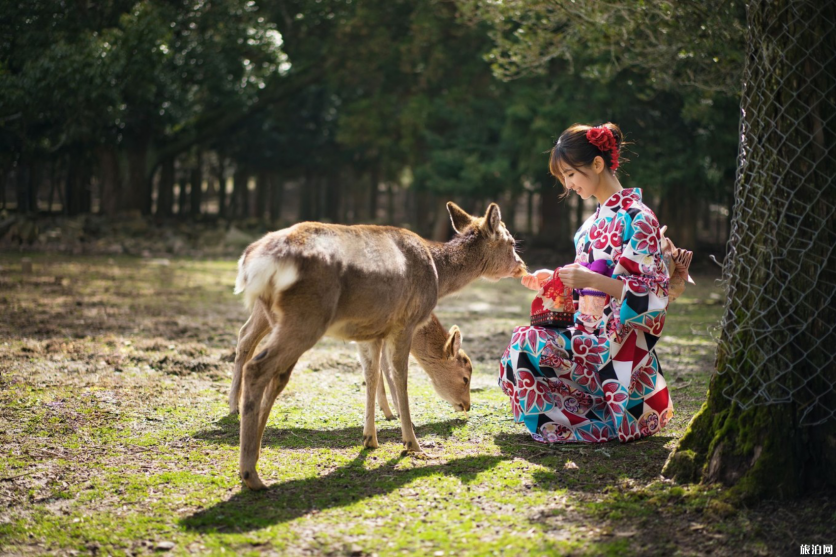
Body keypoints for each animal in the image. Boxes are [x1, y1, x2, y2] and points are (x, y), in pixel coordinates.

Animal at [232, 202, 524, 488]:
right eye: (511, 242)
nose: (521, 264)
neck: (438, 274)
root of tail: (254, 262)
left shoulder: (371, 331)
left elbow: (371, 375)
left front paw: (370, 438)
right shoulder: (404, 323)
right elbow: (400, 378)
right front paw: (412, 443)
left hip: (279, 316)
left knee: (271, 368)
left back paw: (253, 452)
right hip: (306, 316)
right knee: (257, 366)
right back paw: (250, 473)